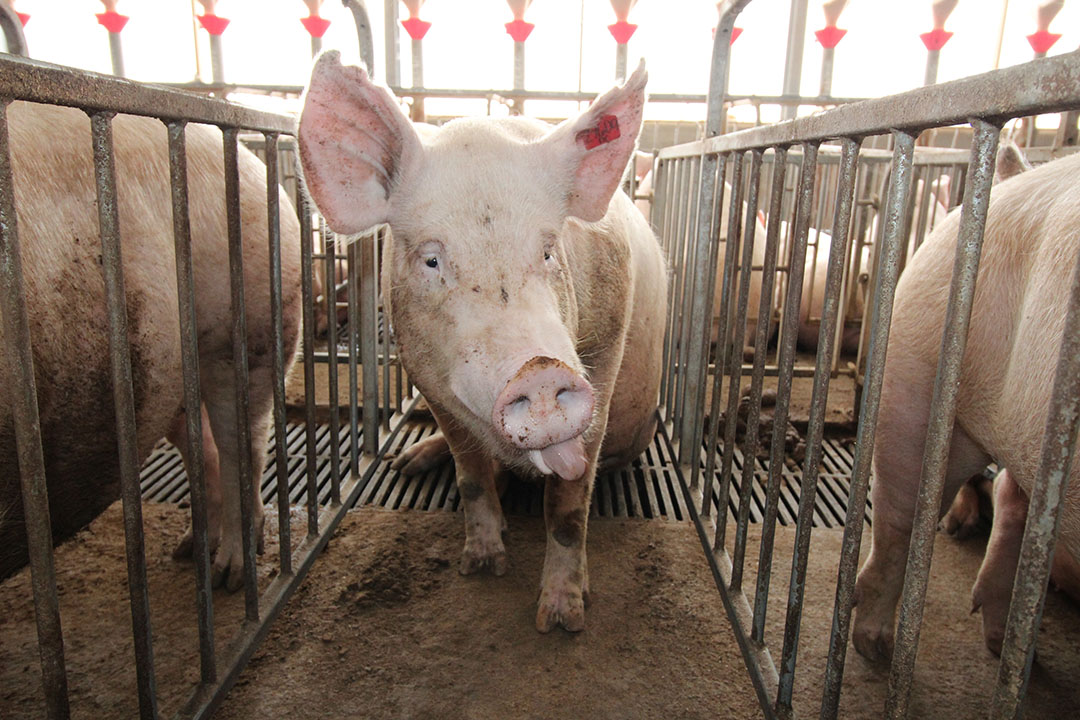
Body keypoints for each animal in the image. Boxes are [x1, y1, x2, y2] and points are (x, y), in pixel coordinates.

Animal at [0, 101, 302, 589]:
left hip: (247, 330)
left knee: (243, 447)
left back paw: (229, 576)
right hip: (169, 379)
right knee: (204, 449)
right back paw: (189, 550)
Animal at [298, 52, 666, 632]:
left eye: (548, 250)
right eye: (431, 260)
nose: (541, 370)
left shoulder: (605, 350)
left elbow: (568, 505)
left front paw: (561, 619)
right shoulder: (423, 374)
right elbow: (469, 472)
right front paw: (483, 565)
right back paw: (404, 464)